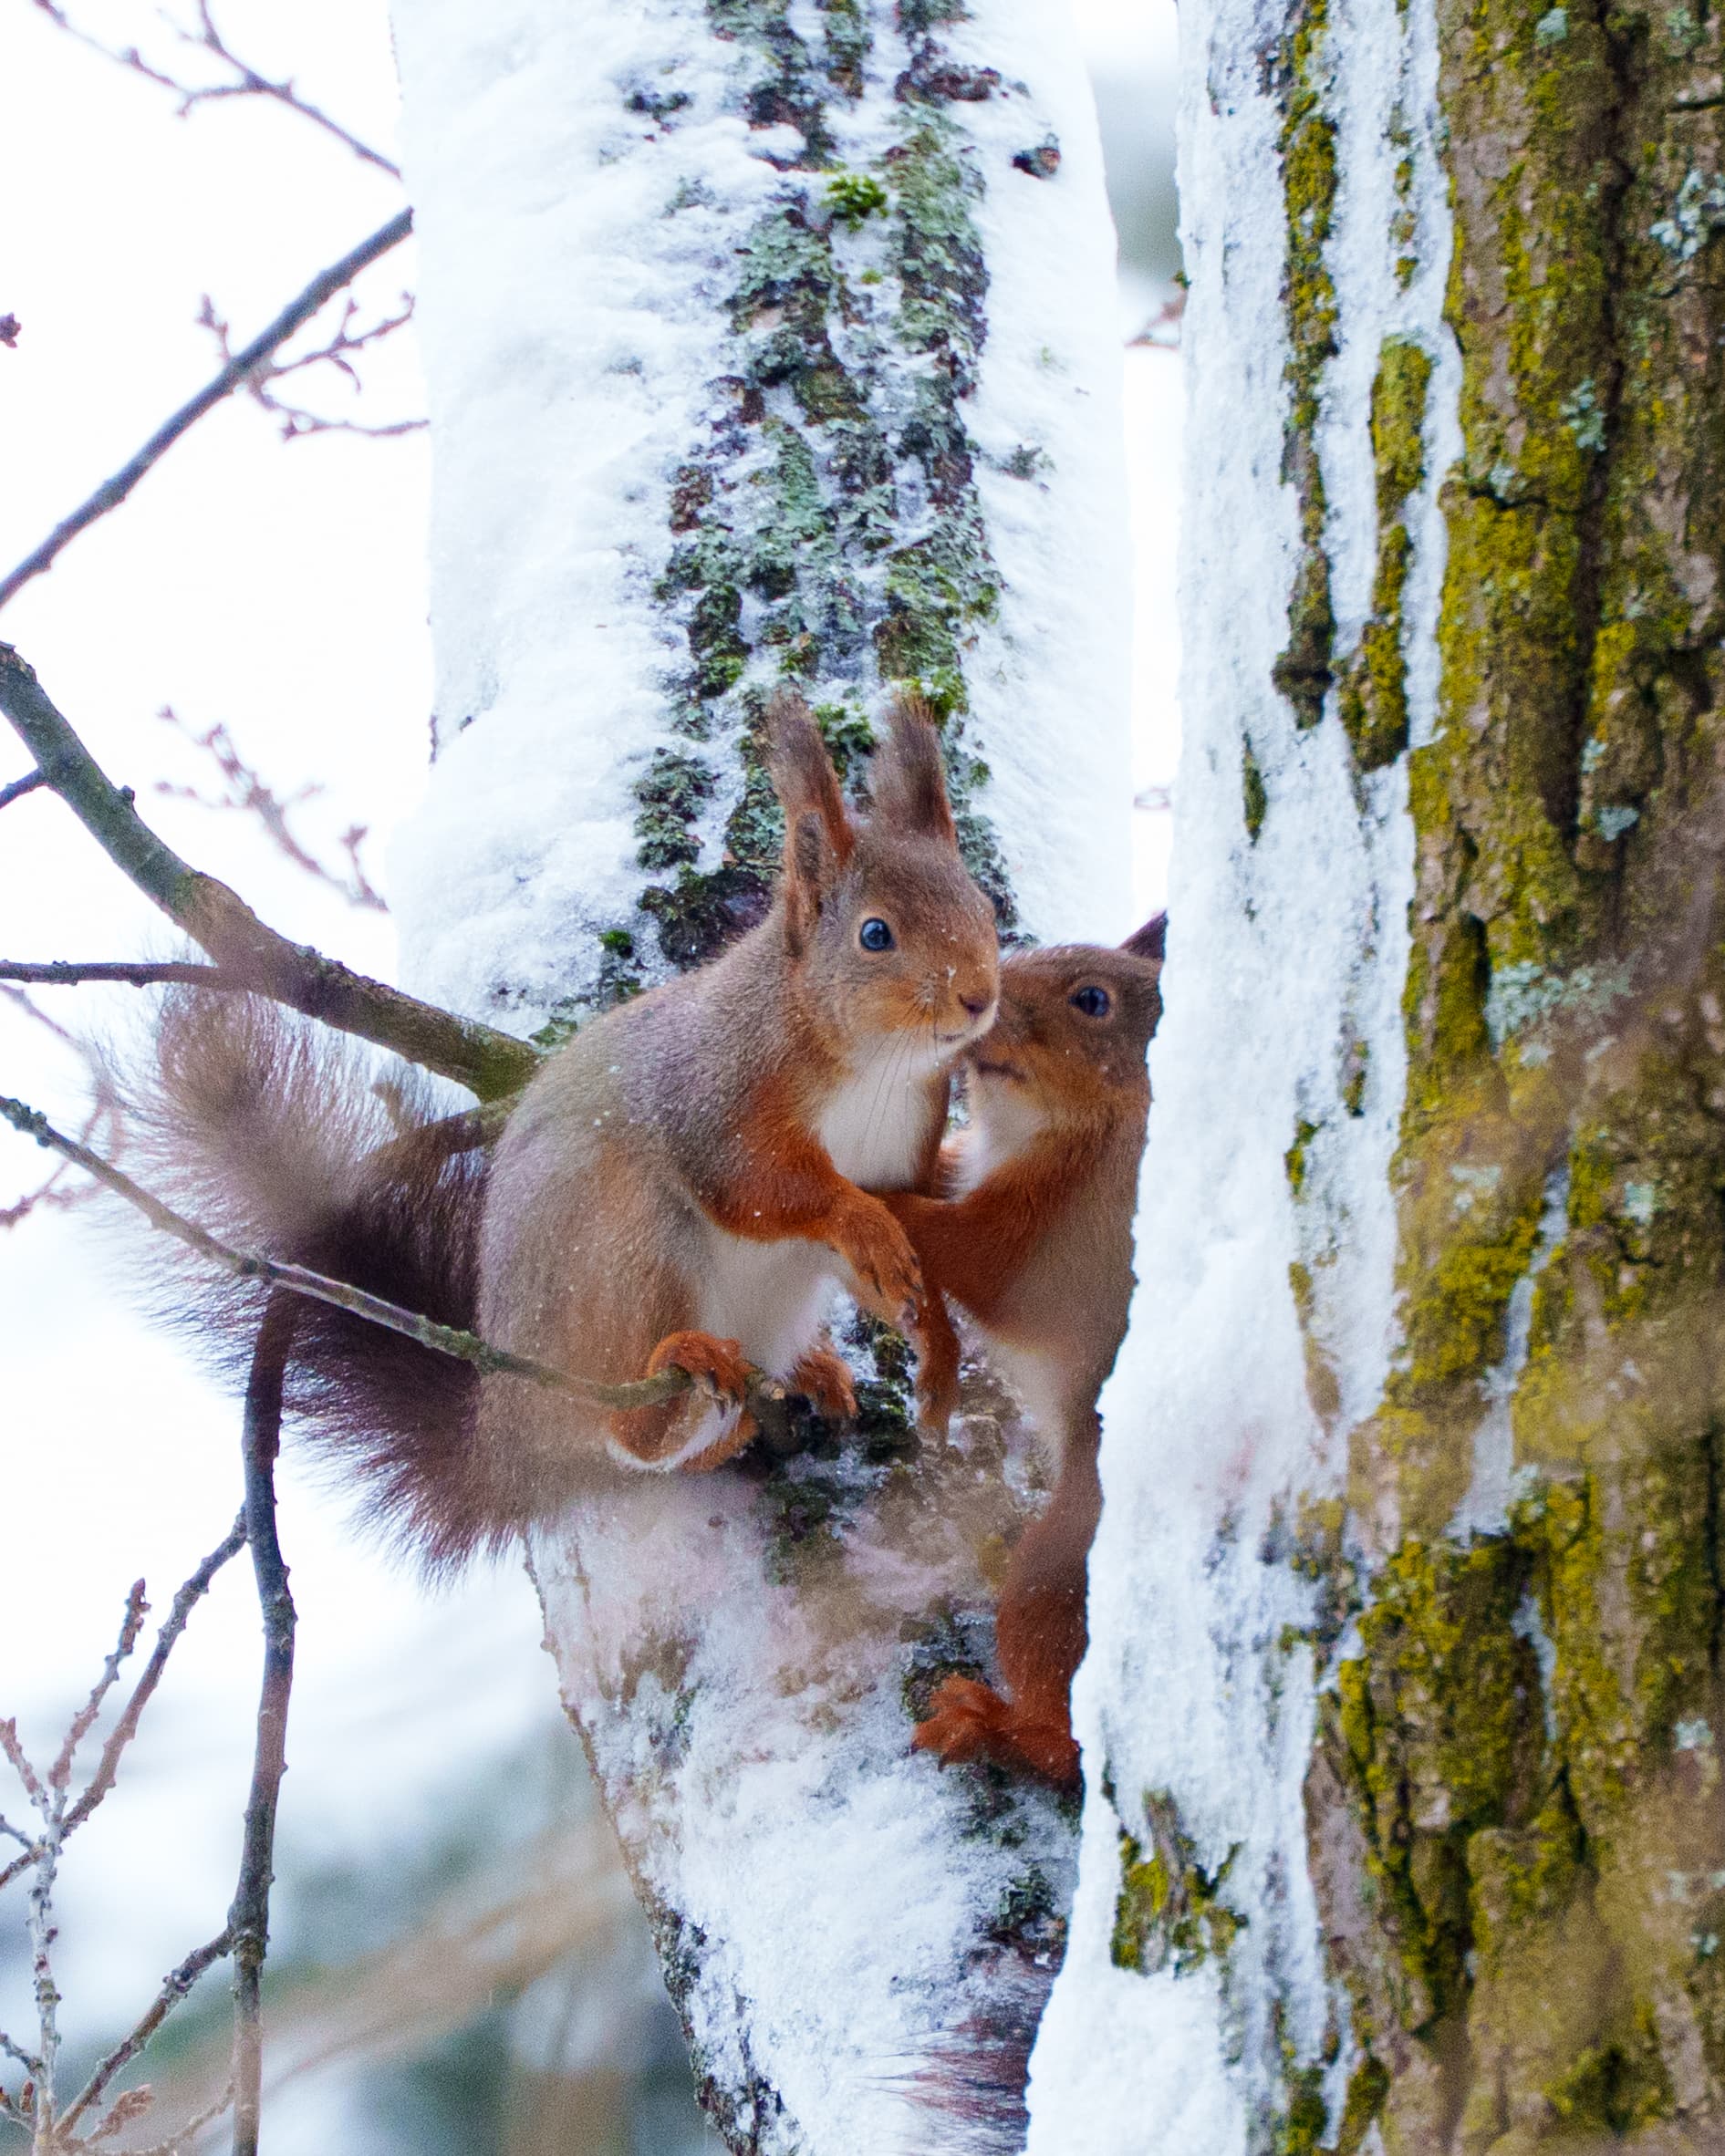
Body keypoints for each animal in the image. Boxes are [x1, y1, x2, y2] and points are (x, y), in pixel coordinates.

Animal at [133, 694, 1000, 1571]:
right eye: (875, 935)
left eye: (986, 908)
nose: (979, 997)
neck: (870, 1064)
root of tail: (507, 1435)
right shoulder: (716, 1095)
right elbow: (761, 1189)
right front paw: (861, 1223)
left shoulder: (901, 1146)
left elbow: (886, 1247)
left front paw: (929, 1326)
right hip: (625, 1251)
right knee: (623, 1435)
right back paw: (679, 1379)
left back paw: (805, 1375)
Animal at [883, 914, 1166, 1788]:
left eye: (1092, 1001)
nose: (980, 998)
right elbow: (946, 1172)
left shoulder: (1054, 1228)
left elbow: (968, 1254)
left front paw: (851, 1194)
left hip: (1054, 1578)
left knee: (1065, 1739)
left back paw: (990, 1725)